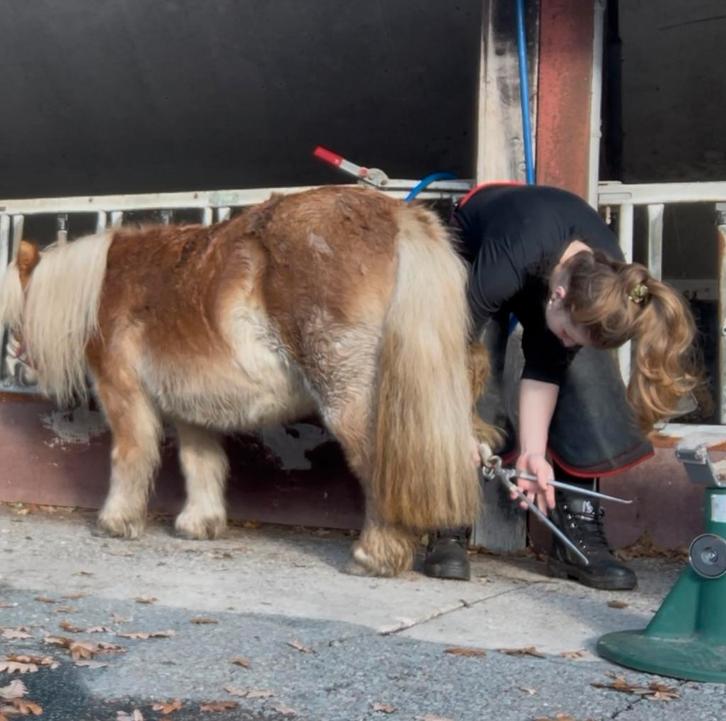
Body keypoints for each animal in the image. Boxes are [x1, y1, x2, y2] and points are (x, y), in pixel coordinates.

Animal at [0, 186, 496, 576]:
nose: (20, 364)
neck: (104, 287)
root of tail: (396, 218)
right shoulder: (191, 409)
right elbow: (201, 463)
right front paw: (199, 524)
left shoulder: (123, 393)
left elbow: (130, 455)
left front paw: (116, 521)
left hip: (354, 397)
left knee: (380, 466)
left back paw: (373, 556)